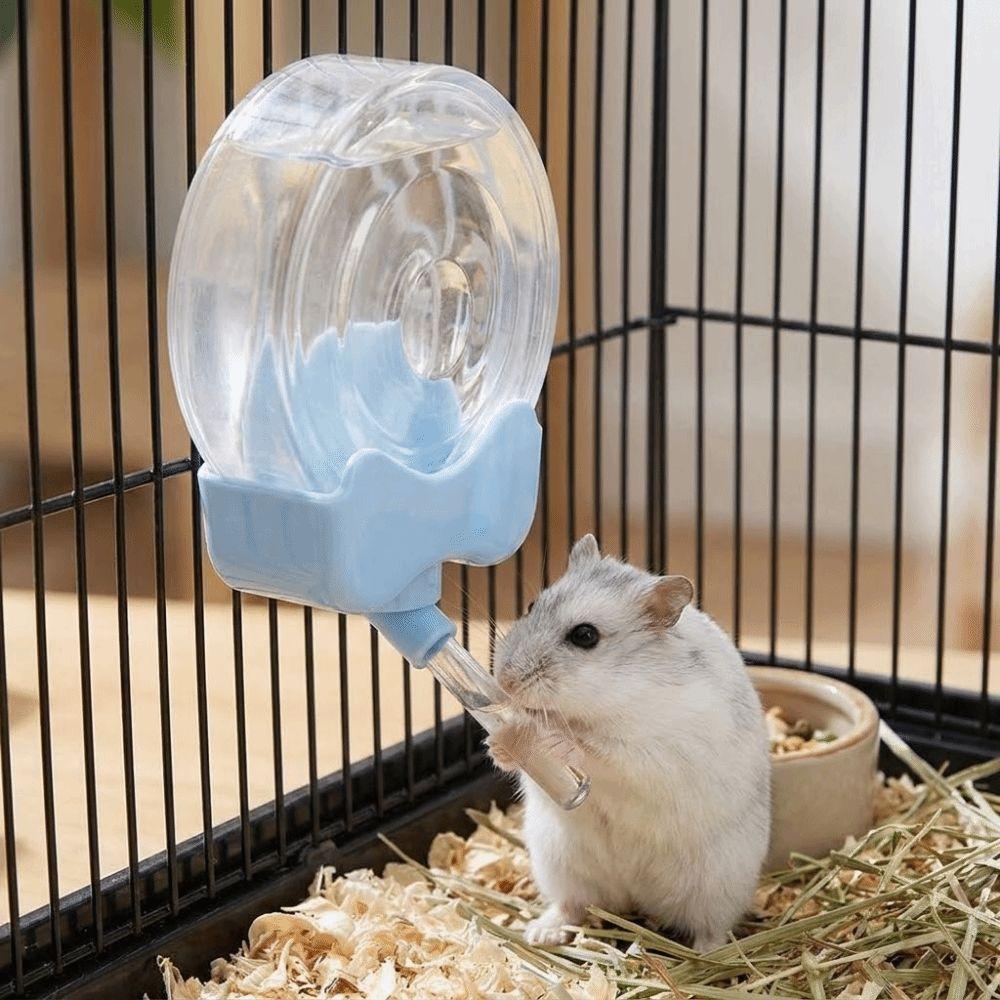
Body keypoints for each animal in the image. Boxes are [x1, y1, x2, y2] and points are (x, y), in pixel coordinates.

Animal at [488, 534, 771, 952]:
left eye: (585, 636)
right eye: (531, 606)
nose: (504, 680)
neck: (614, 692)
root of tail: (638, 898)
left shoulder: (655, 751)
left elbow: (601, 751)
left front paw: (555, 740)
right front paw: (500, 744)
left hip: (720, 883)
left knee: (712, 927)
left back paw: (707, 953)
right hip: (557, 861)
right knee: (573, 905)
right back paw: (541, 932)